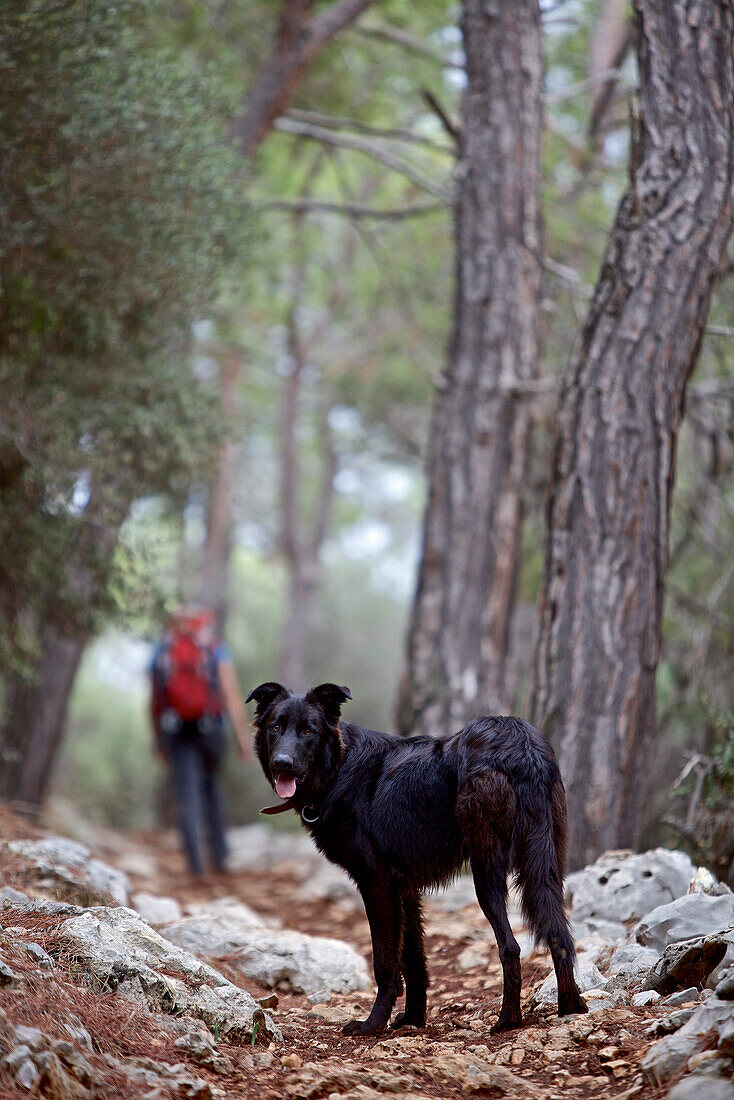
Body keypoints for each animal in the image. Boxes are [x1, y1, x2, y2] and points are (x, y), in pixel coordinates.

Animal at [245, 682, 585, 1034]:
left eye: (308, 730)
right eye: (275, 728)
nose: (282, 763)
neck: (338, 767)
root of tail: (521, 744)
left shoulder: (376, 884)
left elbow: (385, 962)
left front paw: (373, 1023)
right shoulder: (404, 886)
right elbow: (412, 957)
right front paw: (413, 1018)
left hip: (486, 871)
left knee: (511, 947)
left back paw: (508, 1020)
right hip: (544, 869)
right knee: (559, 935)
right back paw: (571, 1008)